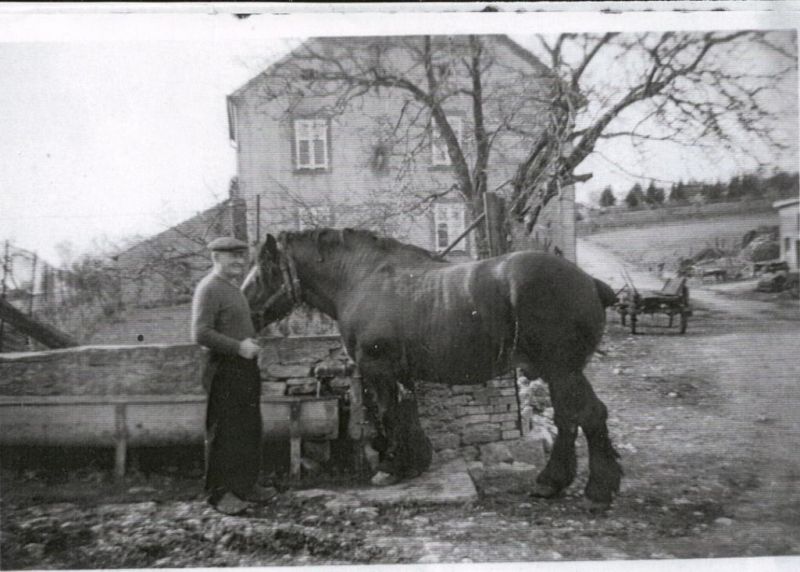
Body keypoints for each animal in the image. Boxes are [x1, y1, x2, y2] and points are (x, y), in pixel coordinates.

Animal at [244, 228, 624, 510]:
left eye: (263, 271)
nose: (245, 311)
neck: (361, 278)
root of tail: (590, 282)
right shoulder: (401, 371)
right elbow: (406, 411)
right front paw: (414, 462)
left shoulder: (378, 367)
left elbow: (389, 413)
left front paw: (391, 467)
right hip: (561, 372)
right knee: (571, 418)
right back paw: (552, 482)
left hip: (562, 370)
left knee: (587, 415)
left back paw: (597, 490)